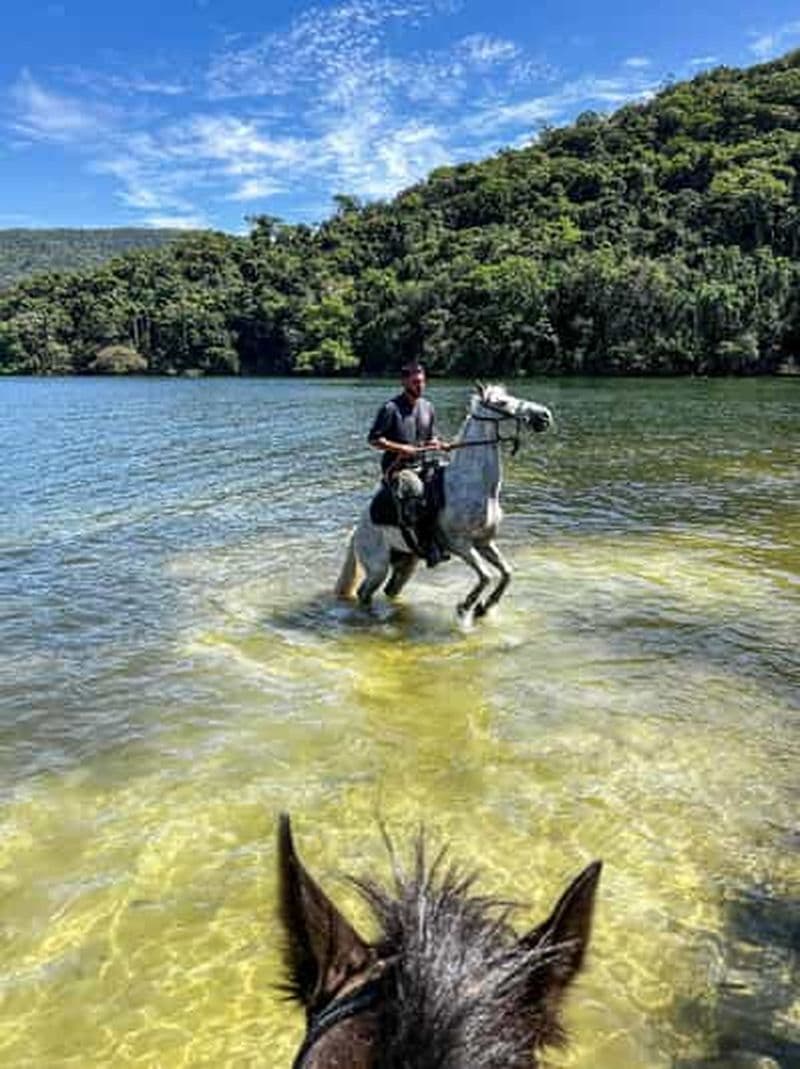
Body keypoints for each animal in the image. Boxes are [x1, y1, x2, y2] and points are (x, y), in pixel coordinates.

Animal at [335, 383, 553, 620]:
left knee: (391, 589)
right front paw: (466, 605)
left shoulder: (484, 542)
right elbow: (486, 576)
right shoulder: (459, 544)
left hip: (407, 560)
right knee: (363, 592)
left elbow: (507, 573)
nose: (544, 416)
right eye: (501, 402)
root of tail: (357, 530)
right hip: (378, 566)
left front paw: (485, 606)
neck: (474, 485)